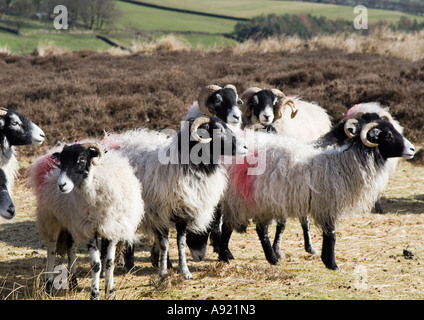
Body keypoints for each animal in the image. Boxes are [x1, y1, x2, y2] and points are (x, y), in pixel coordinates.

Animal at [28, 141, 144, 298]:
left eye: (81, 160)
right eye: (61, 162)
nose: (61, 185)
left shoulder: (111, 229)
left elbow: (109, 263)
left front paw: (110, 292)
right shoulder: (89, 231)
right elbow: (96, 265)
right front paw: (94, 294)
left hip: (72, 224)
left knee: (71, 249)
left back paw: (73, 283)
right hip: (51, 219)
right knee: (51, 250)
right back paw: (48, 286)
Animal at [102, 116, 247, 278]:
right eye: (219, 130)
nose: (245, 147)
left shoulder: (183, 213)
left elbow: (180, 242)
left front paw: (184, 271)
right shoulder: (160, 213)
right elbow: (164, 243)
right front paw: (163, 271)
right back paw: (120, 266)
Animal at [219, 115, 414, 270]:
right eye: (387, 135)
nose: (412, 149)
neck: (344, 163)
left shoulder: (326, 207)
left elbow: (327, 234)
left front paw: (325, 260)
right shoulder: (327, 204)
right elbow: (332, 235)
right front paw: (333, 264)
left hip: (257, 201)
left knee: (253, 229)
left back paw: (264, 259)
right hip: (242, 199)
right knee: (232, 227)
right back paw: (227, 256)